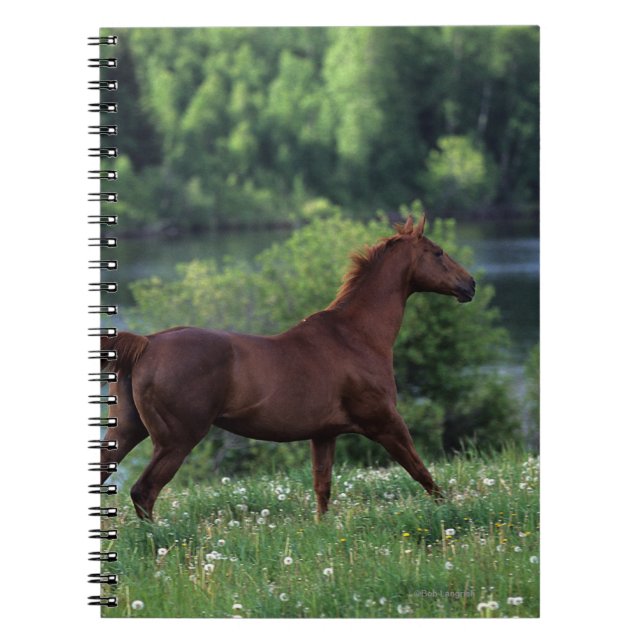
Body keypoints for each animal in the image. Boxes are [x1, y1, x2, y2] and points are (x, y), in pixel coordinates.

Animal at [99, 215, 475, 521]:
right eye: (438, 252)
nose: (470, 284)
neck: (355, 336)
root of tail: (147, 343)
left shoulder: (324, 434)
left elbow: (322, 489)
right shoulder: (385, 422)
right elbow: (421, 472)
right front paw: (451, 514)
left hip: (128, 431)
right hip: (176, 440)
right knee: (144, 491)